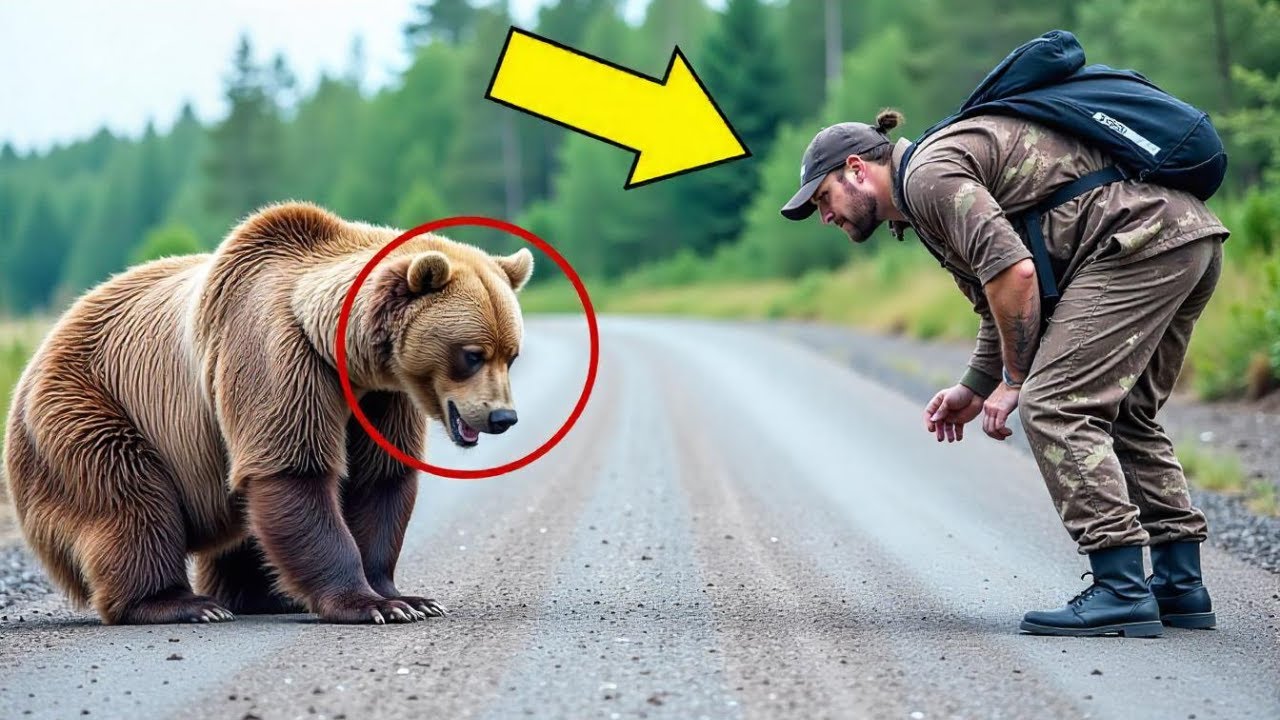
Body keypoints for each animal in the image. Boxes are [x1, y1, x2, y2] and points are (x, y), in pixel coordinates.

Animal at [2, 201, 533, 625]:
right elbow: (292, 471)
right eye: (472, 354)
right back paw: (181, 603)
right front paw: (371, 604)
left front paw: (406, 597)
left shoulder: (380, 397)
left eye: (511, 354)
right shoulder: (275, 352)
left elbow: (379, 479)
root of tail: (35, 358)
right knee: (130, 500)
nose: (502, 417)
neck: (339, 351)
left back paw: (259, 595)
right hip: (88, 408)